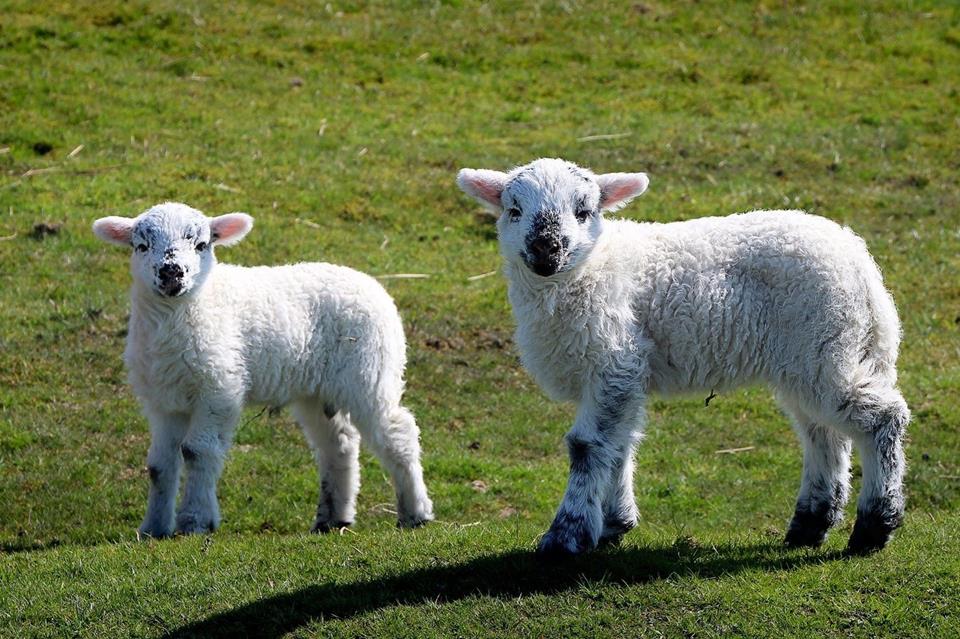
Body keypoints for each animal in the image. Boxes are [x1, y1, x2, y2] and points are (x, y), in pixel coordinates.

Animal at [92, 202, 433, 537]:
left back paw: (415, 512)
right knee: (339, 443)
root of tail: (370, 283)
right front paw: (153, 528)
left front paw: (195, 522)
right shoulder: (163, 401)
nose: (171, 272)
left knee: (397, 431)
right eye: (141, 246)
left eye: (202, 244)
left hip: (369, 371)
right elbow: (160, 465)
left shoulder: (219, 389)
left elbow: (196, 451)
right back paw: (333, 518)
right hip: (316, 390)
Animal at [457, 158, 908, 557]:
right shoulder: (624, 373)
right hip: (810, 359)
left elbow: (587, 446)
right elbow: (619, 444)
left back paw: (874, 526)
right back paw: (810, 525)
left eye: (584, 212)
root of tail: (861, 265)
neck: (591, 270)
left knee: (883, 417)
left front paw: (566, 535)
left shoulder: (614, 359)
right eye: (514, 211)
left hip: (826, 346)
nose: (546, 248)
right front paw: (614, 523)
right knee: (822, 434)